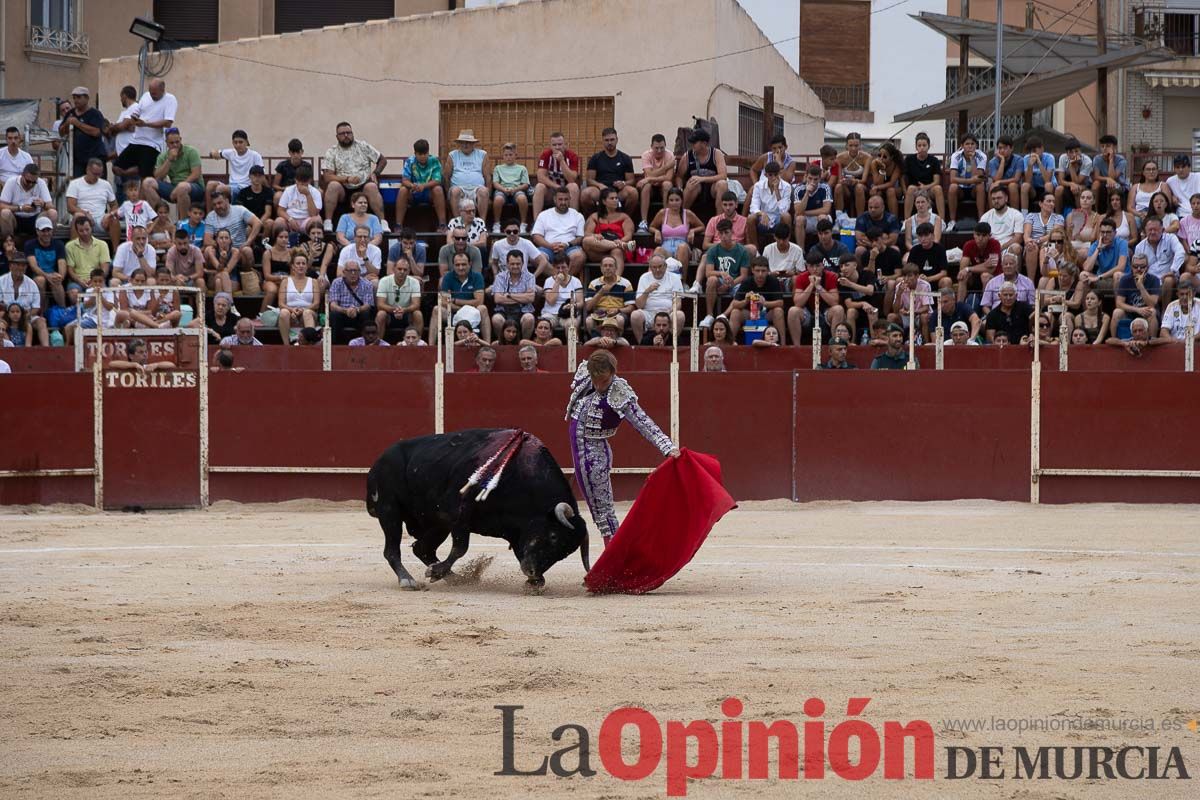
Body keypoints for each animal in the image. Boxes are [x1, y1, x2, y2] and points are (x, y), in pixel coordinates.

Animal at [364, 431, 590, 587]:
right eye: (553, 536)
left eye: (566, 552)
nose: (533, 572)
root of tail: (378, 461)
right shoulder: (459, 513)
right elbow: (460, 548)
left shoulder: (518, 531)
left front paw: (536, 582)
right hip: (390, 510)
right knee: (392, 550)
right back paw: (408, 580)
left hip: (437, 524)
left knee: (422, 548)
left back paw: (450, 576)